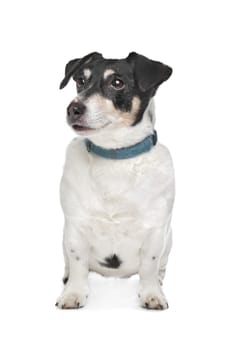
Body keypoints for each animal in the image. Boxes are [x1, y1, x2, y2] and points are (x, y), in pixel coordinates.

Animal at [55, 51, 175, 308]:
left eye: (117, 82)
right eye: (80, 80)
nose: (73, 108)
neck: (114, 157)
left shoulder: (155, 230)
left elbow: (149, 267)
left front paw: (152, 294)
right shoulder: (75, 228)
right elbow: (78, 263)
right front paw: (73, 292)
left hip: (168, 239)